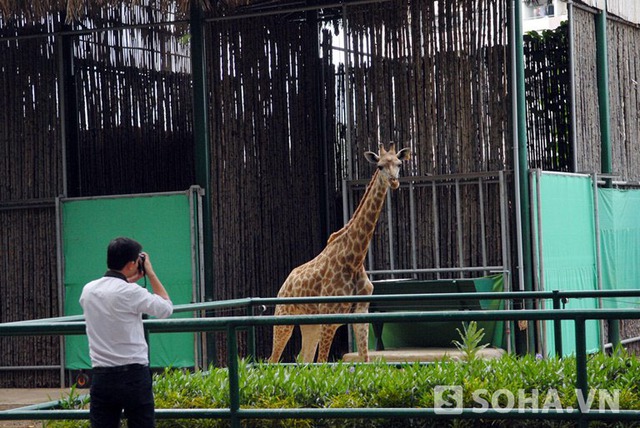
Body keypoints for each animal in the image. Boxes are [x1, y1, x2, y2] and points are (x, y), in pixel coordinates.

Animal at [268, 143, 410, 362]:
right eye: (379, 166)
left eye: (399, 163)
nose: (394, 182)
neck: (354, 259)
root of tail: (284, 286)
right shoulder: (330, 318)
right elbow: (323, 362)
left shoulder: (361, 317)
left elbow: (365, 360)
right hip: (284, 318)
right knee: (272, 360)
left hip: (310, 325)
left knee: (303, 358)